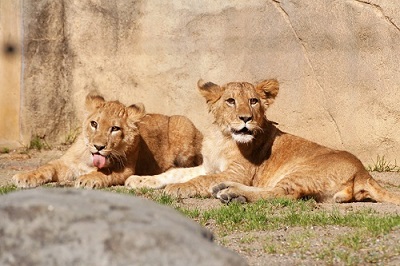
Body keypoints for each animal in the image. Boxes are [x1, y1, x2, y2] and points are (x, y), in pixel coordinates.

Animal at [12, 92, 203, 188]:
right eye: (94, 124)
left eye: (115, 129)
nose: (98, 146)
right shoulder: (67, 163)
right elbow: (47, 167)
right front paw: (24, 177)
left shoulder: (126, 170)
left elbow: (105, 172)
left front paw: (88, 179)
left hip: (182, 123)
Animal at [126, 78, 400, 205]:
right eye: (231, 101)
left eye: (253, 101)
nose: (245, 118)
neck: (222, 137)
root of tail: (363, 173)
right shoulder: (208, 166)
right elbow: (174, 172)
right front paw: (139, 180)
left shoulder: (240, 172)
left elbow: (196, 181)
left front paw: (177, 189)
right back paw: (224, 190)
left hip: (301, 171)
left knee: (284, 194)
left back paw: (231, 193)